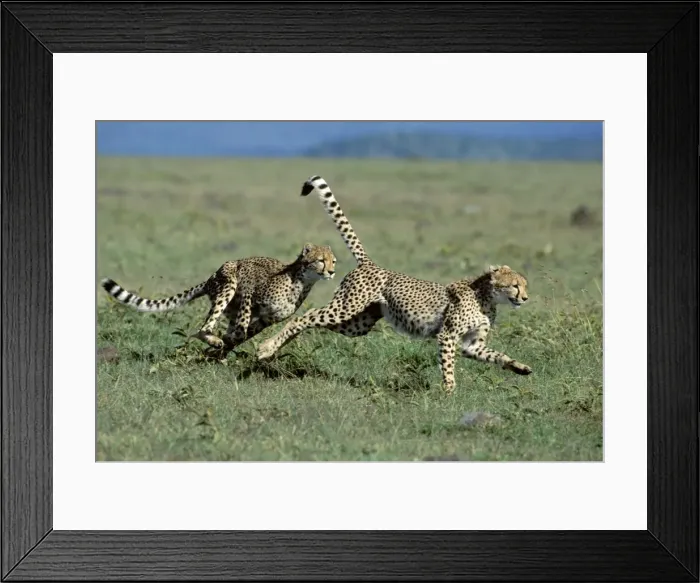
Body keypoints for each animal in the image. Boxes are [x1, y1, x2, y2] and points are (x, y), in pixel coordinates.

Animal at [101, 243, 337, 355]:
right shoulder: (249, 286)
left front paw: (223, 350)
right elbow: (241, 328)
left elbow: (243, 334)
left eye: (333, 260)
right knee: (202, 328)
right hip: (228, 283)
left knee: (219, 328)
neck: (301, 282)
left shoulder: (267, 319)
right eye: (320, 260)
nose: (332, 272)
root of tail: (211, 278)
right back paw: (214, 340)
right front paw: (220, 345)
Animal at [256, 176, 532, 393]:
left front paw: (519, 367)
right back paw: (267, 347)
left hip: (357, 324)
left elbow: (496, 355)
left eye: (524, 285)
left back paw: (271, 350)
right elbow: (448, 367)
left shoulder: (471, 344)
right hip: (345, 308)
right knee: (308, 315)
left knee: (312, 321)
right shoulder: (447, 336)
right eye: (515, 285)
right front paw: (449, 392)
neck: (486, 298)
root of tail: (370, 264)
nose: (525, 298)